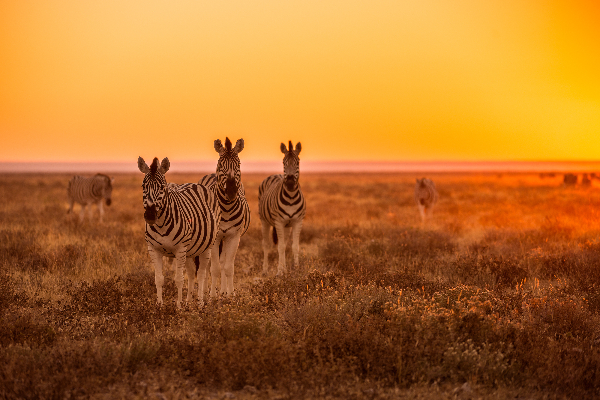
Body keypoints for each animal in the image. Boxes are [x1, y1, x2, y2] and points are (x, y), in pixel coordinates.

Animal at [139, 156, 221, 306]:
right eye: (143, 186)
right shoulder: (153, 249)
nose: (150, 215)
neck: (161, 225)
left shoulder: (180, 249)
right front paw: (159, 305)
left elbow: (179, 279)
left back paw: (200, 303)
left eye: (162, 187)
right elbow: (158, 279)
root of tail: (195, 184)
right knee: (191, 272)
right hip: (190, 250)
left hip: (206, 246)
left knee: (201, 273)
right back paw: (189, 302)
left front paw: (178, 306)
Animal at [198, 138, 250, 296]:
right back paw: (206, 291)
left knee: (223, 262)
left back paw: (223, 291)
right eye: (220, 164)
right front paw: (212, 296)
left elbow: (228, 267)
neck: (226, 209)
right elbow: (214, 268)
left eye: (239, 164)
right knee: (208, 263)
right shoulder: (216, 238)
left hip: (226, 238)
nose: (232, 191)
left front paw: (230, 294)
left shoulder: (234, 236)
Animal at [258, 141, 308, 276]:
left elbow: (294, 246)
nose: (290, 182)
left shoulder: (297, 221)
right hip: (264, 221)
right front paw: (279, 272)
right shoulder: (279, 222)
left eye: (298, 162)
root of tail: (276, 174)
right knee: (266, 244)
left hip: (287, 226)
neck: (291, 197)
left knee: (284, 243)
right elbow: (279, 247)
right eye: (283, 162)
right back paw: (265, 270)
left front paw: (296, 269)